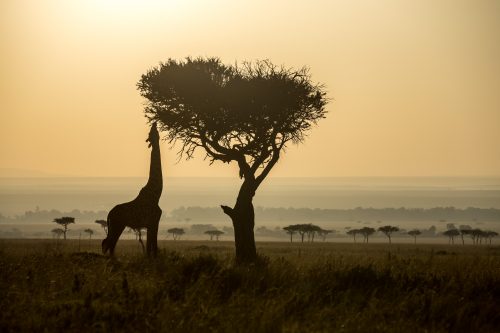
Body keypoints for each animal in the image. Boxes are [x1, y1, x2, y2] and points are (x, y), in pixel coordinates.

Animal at [102, 123, 163, 255]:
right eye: (151, 132)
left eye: (155, 131)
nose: (154, 123)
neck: (156, 195)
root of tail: (109, 213)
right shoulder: (153, 222)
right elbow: (152, 249)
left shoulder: (152, 224)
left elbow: (151, 248)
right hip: (117, 226)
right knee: (110, 244)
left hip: (117, 226)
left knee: (110, 245)